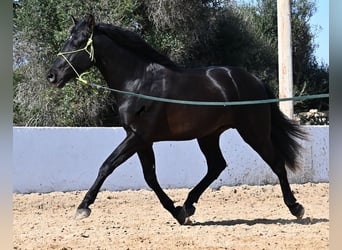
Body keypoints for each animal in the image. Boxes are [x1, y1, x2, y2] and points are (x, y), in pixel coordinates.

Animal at [46, 14, 306, 224]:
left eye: (79, 41)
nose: (52, 75)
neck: (137, 82)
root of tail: (254, 80)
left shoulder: (137, 137)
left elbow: (106, 166)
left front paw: (82, 208)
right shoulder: (142, 141)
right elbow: (150, 177)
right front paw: (177, 212)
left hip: (253, 132)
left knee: (276, 163)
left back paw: (296, 207)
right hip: (208, 135)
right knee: (216, 166)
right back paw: (188, 205)